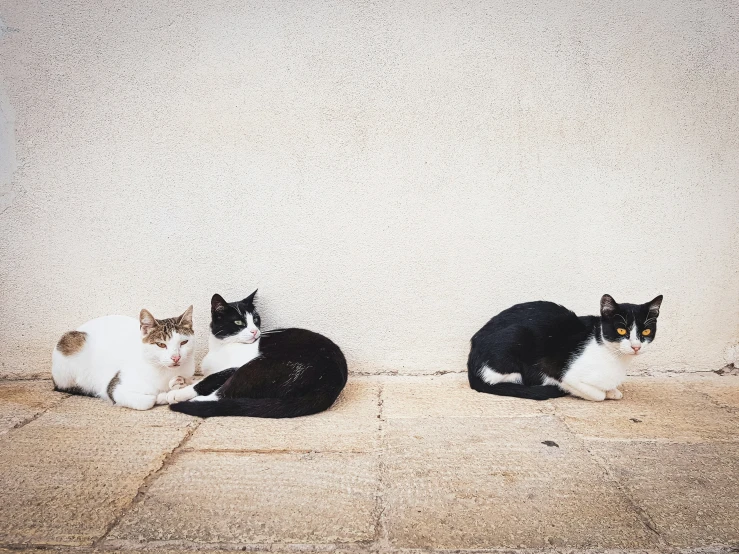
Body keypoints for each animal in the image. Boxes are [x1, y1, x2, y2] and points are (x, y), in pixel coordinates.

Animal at [52, 306, 197, 410]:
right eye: (161, 344)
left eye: (184, 342)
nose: (176, 357)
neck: (165, 373)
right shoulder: (115, 387)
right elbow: (148, 401)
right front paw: (160, 396)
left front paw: (177, 387)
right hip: (71, 344)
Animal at [160, 292, 348, 416]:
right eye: (238, 322)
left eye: (256, 320)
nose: (255, 331)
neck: (221, 347)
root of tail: (329, 383)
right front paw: (179, 382)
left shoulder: (235, 366)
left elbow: (209, 379)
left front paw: (179, 391)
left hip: (259, 366)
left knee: (222, 396)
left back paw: (174, 398)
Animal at [468, 294, 664, 402]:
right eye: (621, 330)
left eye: (646, 331)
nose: (636, 346)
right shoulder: (562, 372)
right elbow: (597, 395)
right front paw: (606, 393)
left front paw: (613, 391)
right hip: (516, 336)